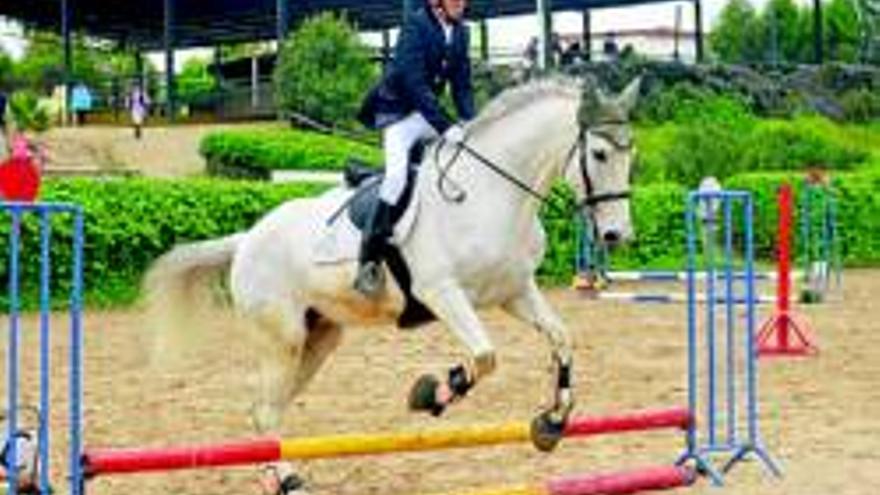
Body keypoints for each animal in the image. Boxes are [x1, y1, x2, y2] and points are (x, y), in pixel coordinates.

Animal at [144, 75, 640, 494]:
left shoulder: (514, 293)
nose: (617, 235)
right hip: (282, 339)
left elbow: (561, 339)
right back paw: (287, 479)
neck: (490, 195)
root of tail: (247, 238)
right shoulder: (442, 293)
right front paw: (432, 394)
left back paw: (274, 475)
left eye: (631, 155)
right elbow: (484, 356)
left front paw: (552, 421)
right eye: (599, 154)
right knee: (265, 409)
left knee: (268, 408)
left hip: (319, 336)